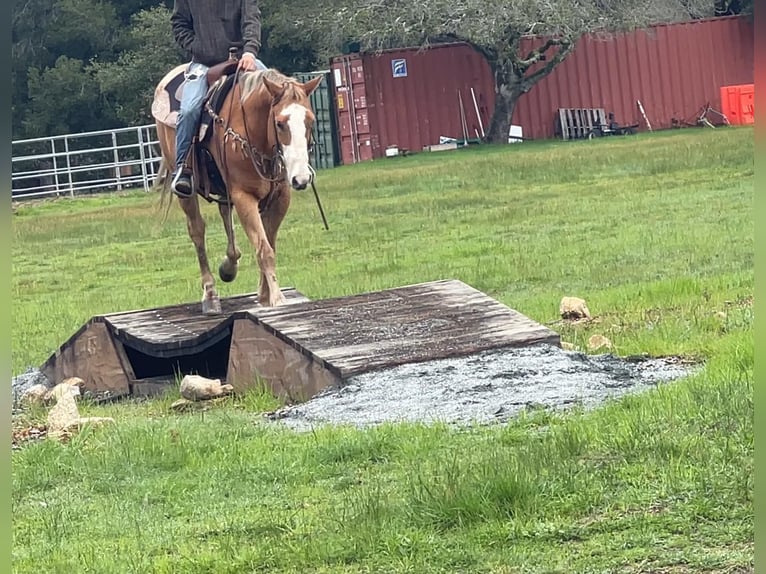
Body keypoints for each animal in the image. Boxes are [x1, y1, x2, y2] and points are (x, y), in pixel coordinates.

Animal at [152, 59, 322, 316]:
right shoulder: (244, 197)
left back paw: (229, 266)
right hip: (184, 188)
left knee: (225, 215)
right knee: (197, 231)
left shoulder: (280, 198)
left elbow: (268, 243)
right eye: (280, 123)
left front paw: (263, 295)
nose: (301, 178)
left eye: (310, 121)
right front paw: (277, 298)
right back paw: (210, 294)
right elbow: (264, 249)